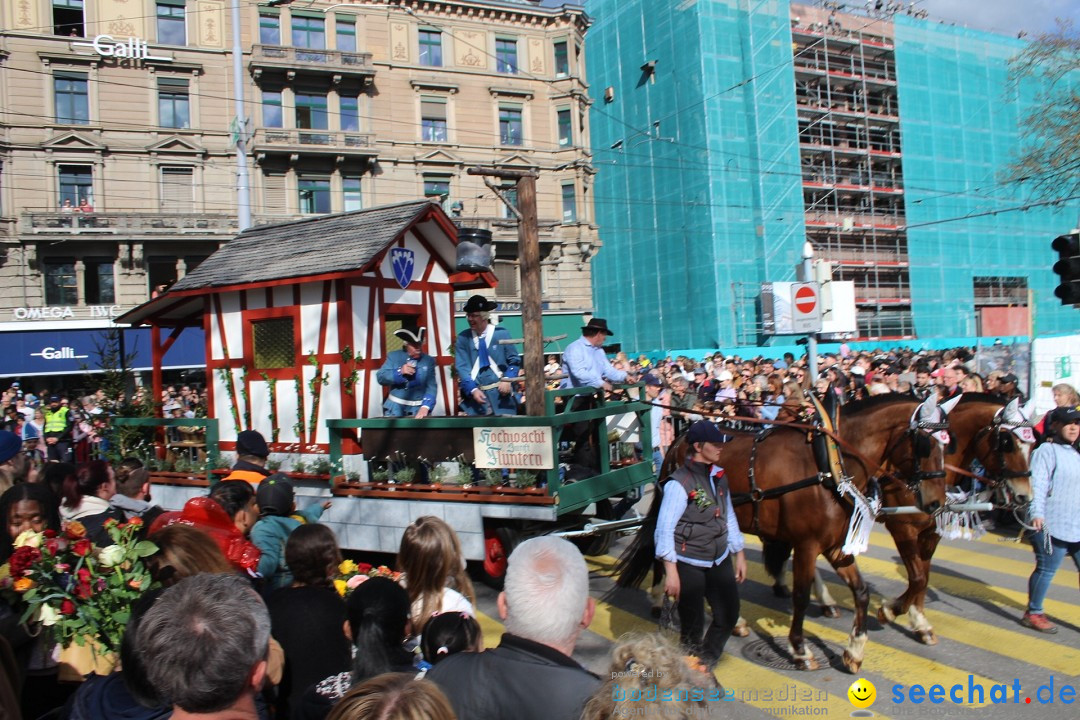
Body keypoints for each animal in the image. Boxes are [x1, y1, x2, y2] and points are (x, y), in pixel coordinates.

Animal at [617, 390, 946, 673]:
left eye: (948, 444)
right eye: (926, 444)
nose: (936, 503)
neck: (828, 463)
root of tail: (681, 438)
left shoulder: (834, 546)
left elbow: (862, 591)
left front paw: (855, 649)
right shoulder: (807, 544)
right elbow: (800, 596)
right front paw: (800, 649)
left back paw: (727, 619)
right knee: (663, 552)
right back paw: (659, 598)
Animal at [872, 395, 1032, 643]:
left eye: (1032, 444)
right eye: (1008, 443)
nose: (1024, 495)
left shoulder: (932, 531)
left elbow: (924, 576)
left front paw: (920, 621)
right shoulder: (903, 527)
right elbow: (917, 577)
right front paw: (890, 610)